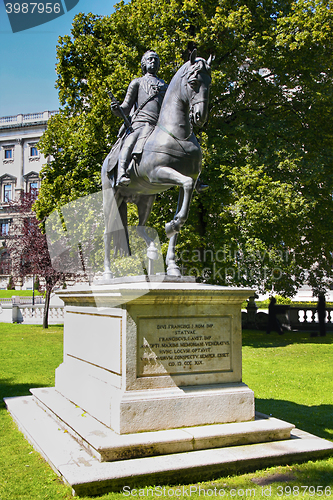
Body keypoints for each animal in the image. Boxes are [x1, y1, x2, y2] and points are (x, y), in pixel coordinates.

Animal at [101, 51, 211, 278]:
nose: (200, 116)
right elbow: (185, 186)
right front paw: (171, 225)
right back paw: (107, 273)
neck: (177, 134)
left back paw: (152, 248)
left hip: (146, 199)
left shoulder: (186, 181)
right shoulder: (158, 173)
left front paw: (173, 264)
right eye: (194, 82)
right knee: (108, 232)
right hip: (112, 197)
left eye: (210, 82)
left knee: (139, 227)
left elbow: (184, 207)